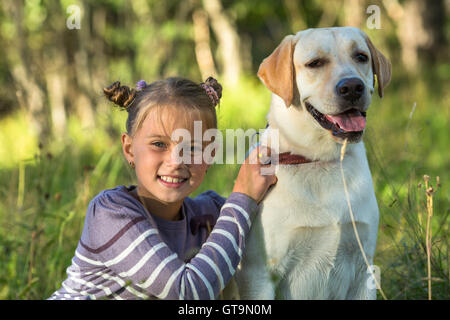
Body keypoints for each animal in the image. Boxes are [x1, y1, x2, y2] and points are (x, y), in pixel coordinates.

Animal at [234, 27, 392, 300]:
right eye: (315, 63)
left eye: (361, 57)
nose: (352, 87)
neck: (319, 160)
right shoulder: (259, 276)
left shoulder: (364, 269)